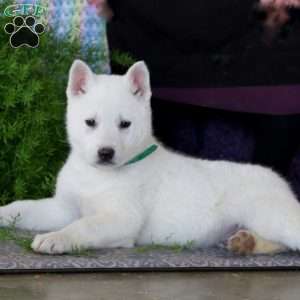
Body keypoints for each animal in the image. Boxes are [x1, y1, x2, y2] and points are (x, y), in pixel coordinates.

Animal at [1, 59, 298, 255]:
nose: (106, 153)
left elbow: (85, 225)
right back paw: (245, 243)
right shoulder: (63, 208)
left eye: (125, 124)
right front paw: (4, 212)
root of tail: (282, 183)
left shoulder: (122, 218)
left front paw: (58, 238)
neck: (97, 176)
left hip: (270, 213)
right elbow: (23, 207)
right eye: (90, 122)